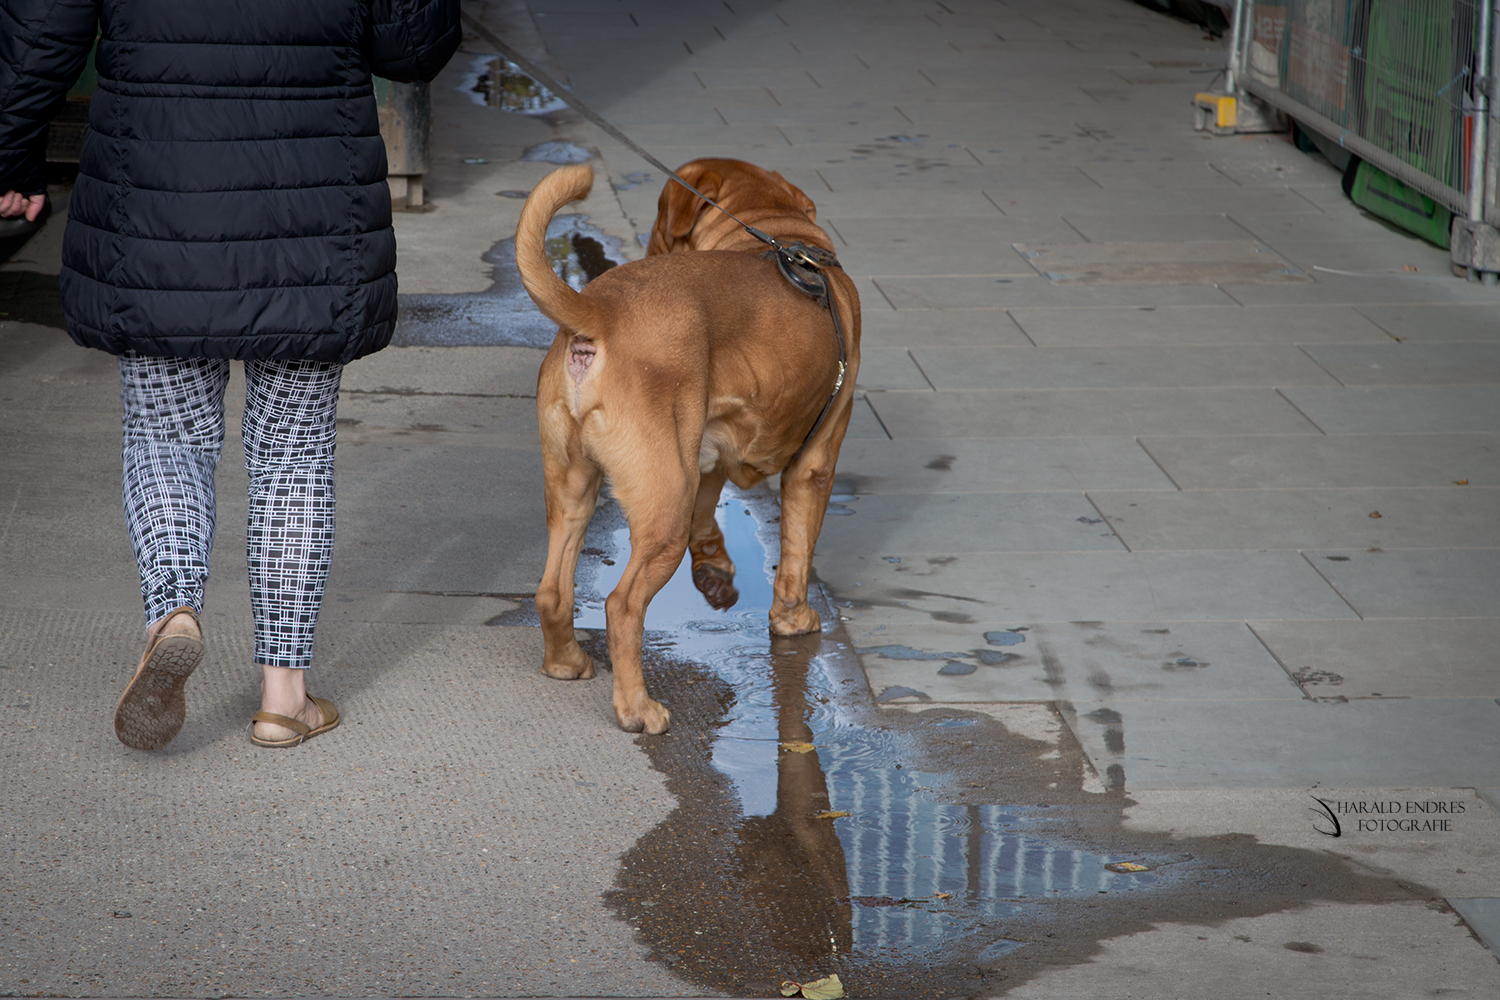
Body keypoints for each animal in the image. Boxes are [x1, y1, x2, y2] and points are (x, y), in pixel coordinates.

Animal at [519, 162, 864, 728]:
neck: (775, 226)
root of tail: (600, 309)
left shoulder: (706, 452)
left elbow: (712, 510)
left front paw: (715, 569)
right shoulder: (816, 462)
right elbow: (796, 554)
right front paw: (794, 619)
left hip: (574, 487)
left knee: (552, 591)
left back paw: (566, 662)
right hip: (665, 506)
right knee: (623, 605)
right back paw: (638, 709)